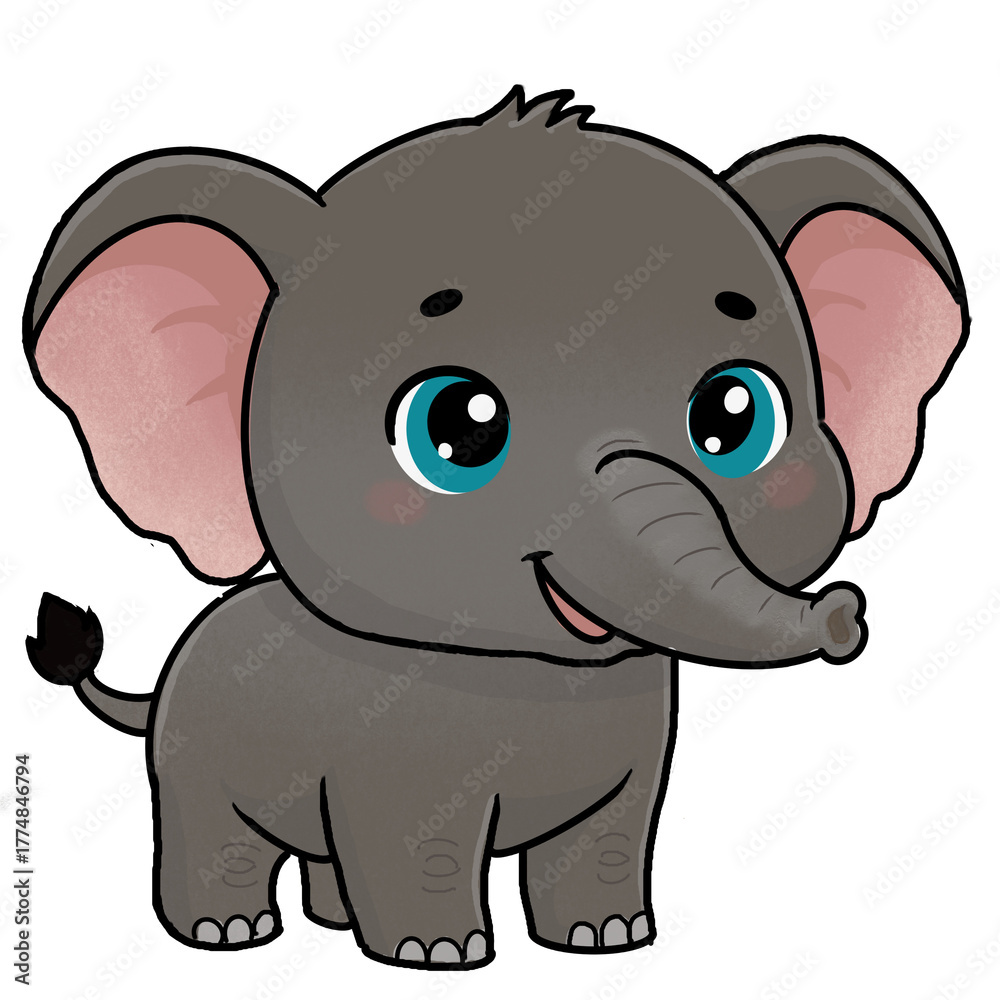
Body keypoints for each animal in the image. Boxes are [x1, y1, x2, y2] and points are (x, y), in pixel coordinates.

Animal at [24, 86, 967, 969]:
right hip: (194, 755)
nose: (846, 612)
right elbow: (416, 844)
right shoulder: (388, 751)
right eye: (458, 424)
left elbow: (609, 836)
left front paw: (606, 938)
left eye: (736, 414)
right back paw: (228, 933)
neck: (529, 673)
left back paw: (331, 922)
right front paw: (437, 955)